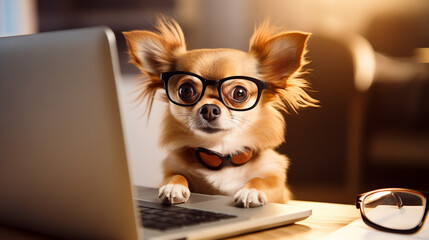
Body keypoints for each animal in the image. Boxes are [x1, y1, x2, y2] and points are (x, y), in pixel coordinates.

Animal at [122, 17, 316, 208]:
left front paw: (251, 191)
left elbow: (260, 180)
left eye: (240, 93)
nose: (209, 108)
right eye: (185, 90)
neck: (221, 154)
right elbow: (176, 175)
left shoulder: (277, 186)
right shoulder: (171, 169)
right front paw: (173, 187)